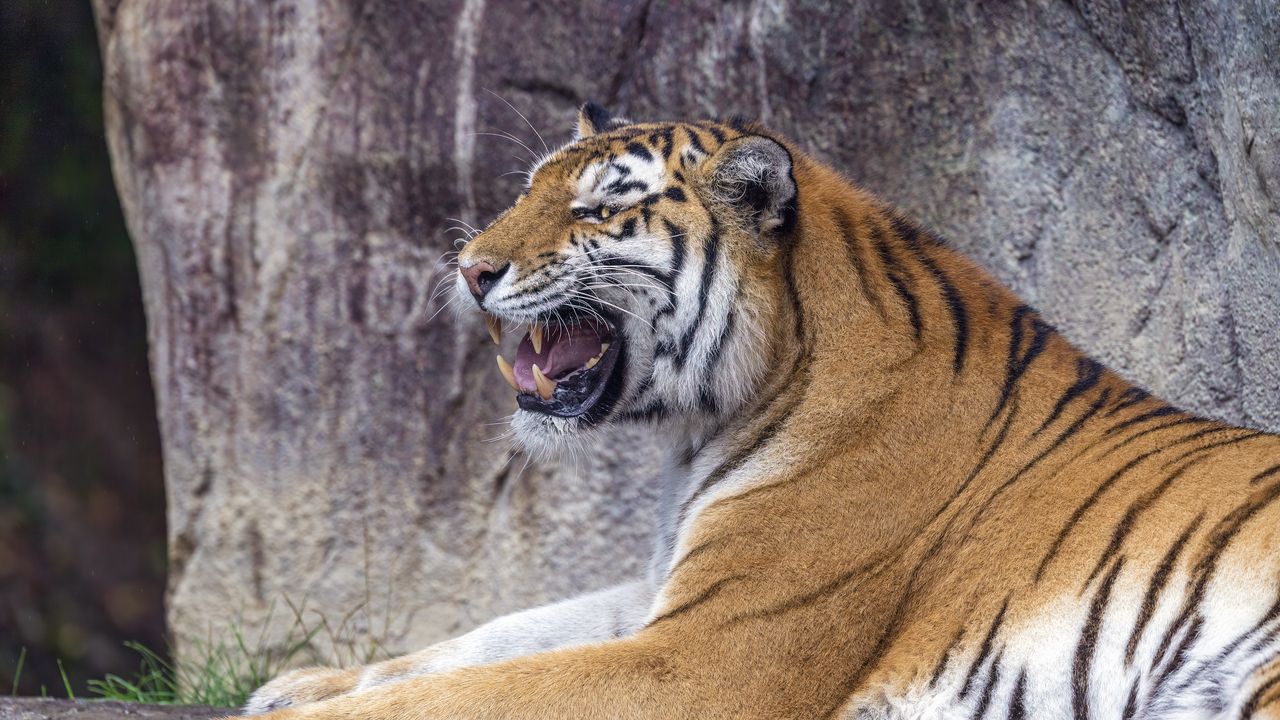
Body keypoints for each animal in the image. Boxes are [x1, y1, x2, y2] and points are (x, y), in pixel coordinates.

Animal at [241, 103, 1280, 720]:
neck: (714, 420)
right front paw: (293, 685)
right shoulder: (661, 596)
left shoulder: (707, 655)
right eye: (528, 189)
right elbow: (489, 638)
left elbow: (483, 691)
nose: (468, 269)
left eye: (595, 211)